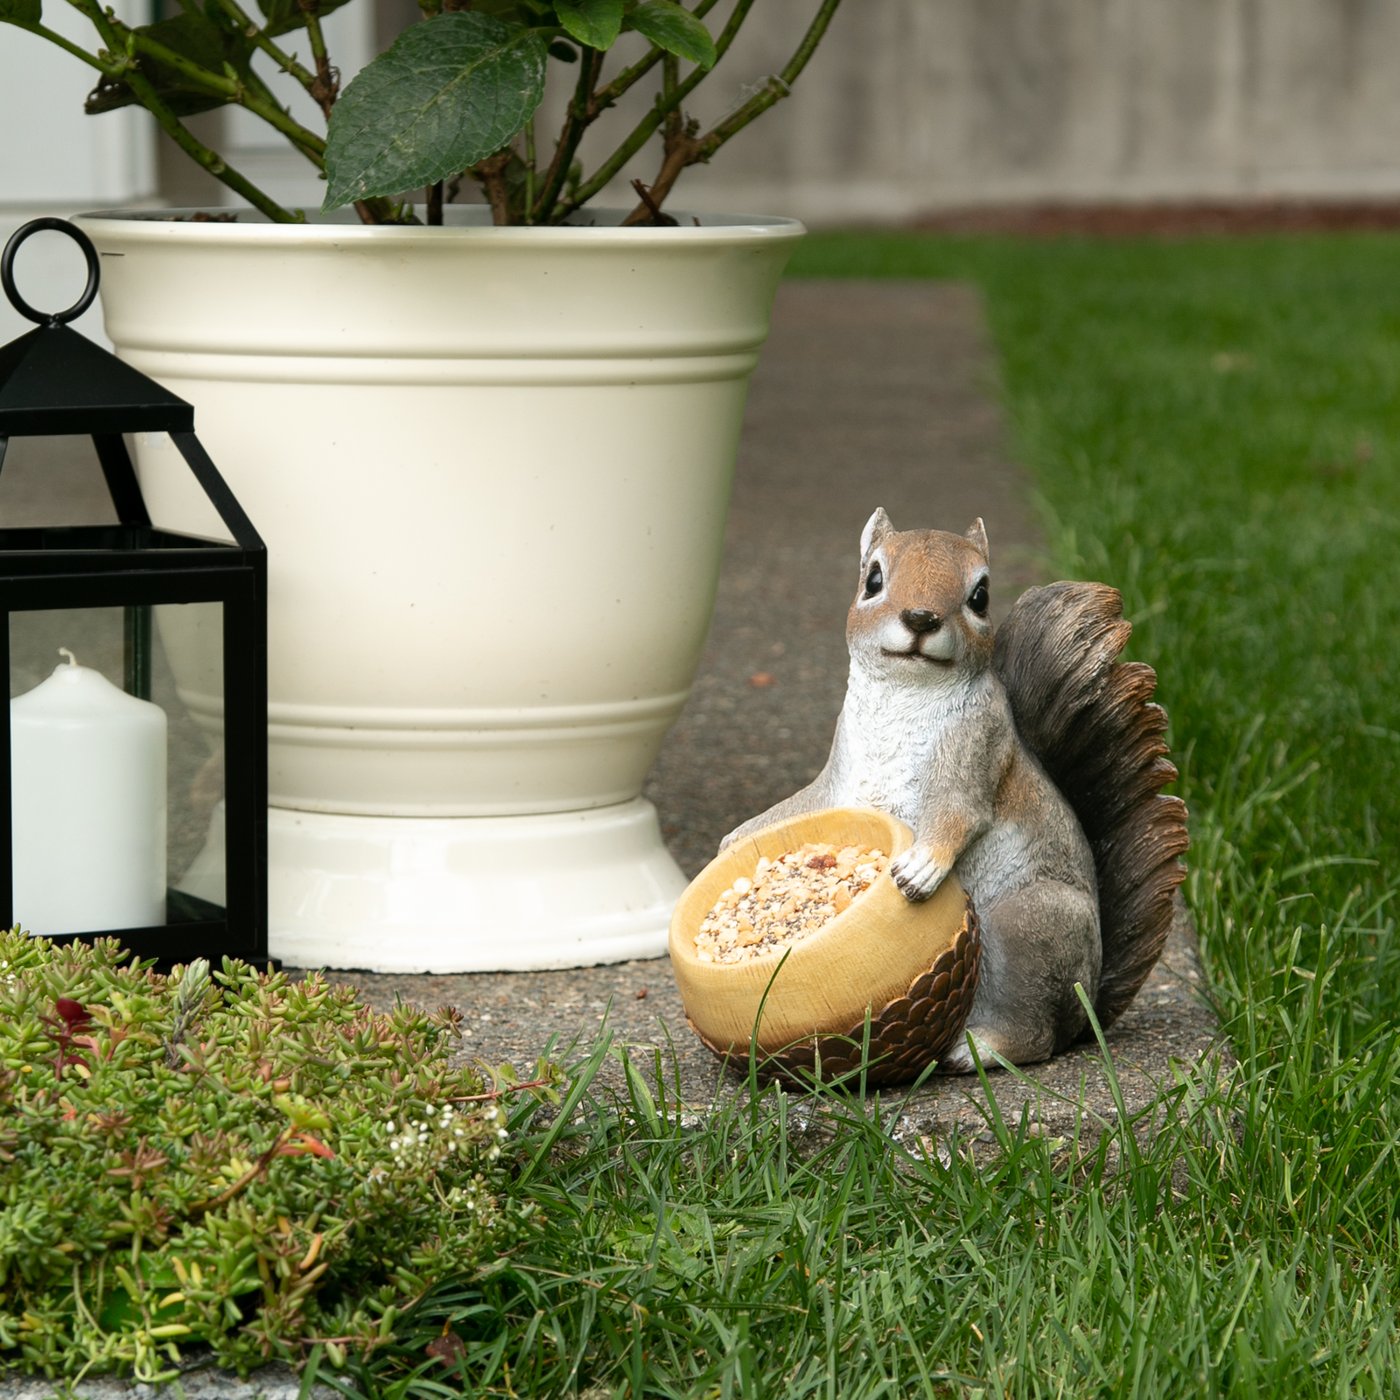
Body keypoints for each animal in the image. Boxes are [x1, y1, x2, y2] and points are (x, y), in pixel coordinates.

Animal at [722, 509, 1189, 1070]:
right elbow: (801, 806)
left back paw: (977, 1050)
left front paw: (922, 866)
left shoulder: (974, 748)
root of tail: (1088, 1012)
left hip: (1026, 927)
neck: (903, 693)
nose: (921, 617)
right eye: (872, 579)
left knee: (1036, 1036)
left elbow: (959, 814)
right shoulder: (837, 779)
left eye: (980, 596)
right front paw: (737, 839)